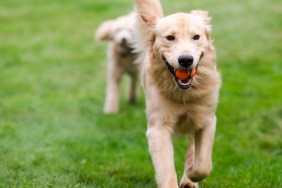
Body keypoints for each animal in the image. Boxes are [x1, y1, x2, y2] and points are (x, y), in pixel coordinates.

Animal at [133, 0, 221, 187]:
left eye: (196, 37)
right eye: (170, 38)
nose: (186, 60)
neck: (184, 94)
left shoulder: (207, 120)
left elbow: (203, 164)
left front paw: (192, 174)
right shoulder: (158, 128)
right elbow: (166, 169)